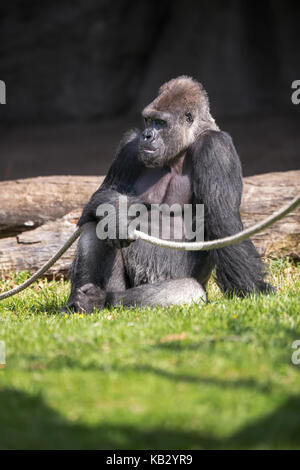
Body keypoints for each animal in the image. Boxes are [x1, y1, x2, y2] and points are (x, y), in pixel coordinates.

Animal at [65, 76, 272, 312]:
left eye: (161, 123)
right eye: (148, 120)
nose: (147, 135)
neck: (183, 147)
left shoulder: (217, 147)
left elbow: (223, 224)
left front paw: (254, 289)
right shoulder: (131, 145)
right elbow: (104, 193)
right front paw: (118, 212)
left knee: (189, 290)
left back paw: (103, 300)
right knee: (94, 223)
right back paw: (79, 304)